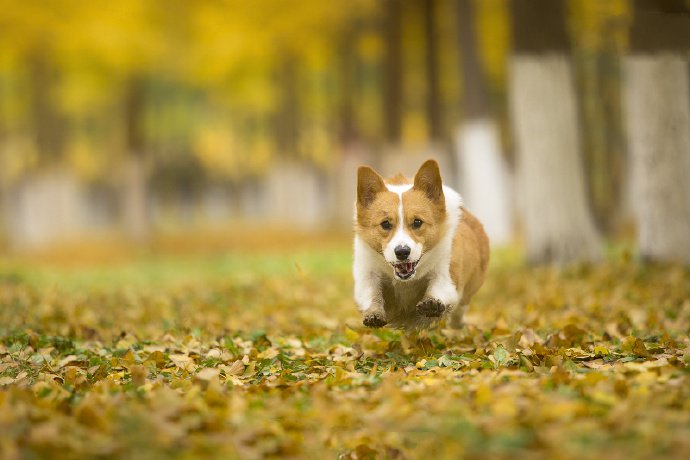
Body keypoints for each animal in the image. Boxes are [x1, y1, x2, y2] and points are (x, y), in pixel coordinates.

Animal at [352, 160, 486, 328]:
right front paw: (373, 314)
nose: (402, 252)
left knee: (459, 312)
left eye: (417, 222)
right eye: (385, 224)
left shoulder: (446, 274)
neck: (405, 281)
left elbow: (438, 287)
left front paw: (431, 303)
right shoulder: (367, 274)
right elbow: (372, 294)